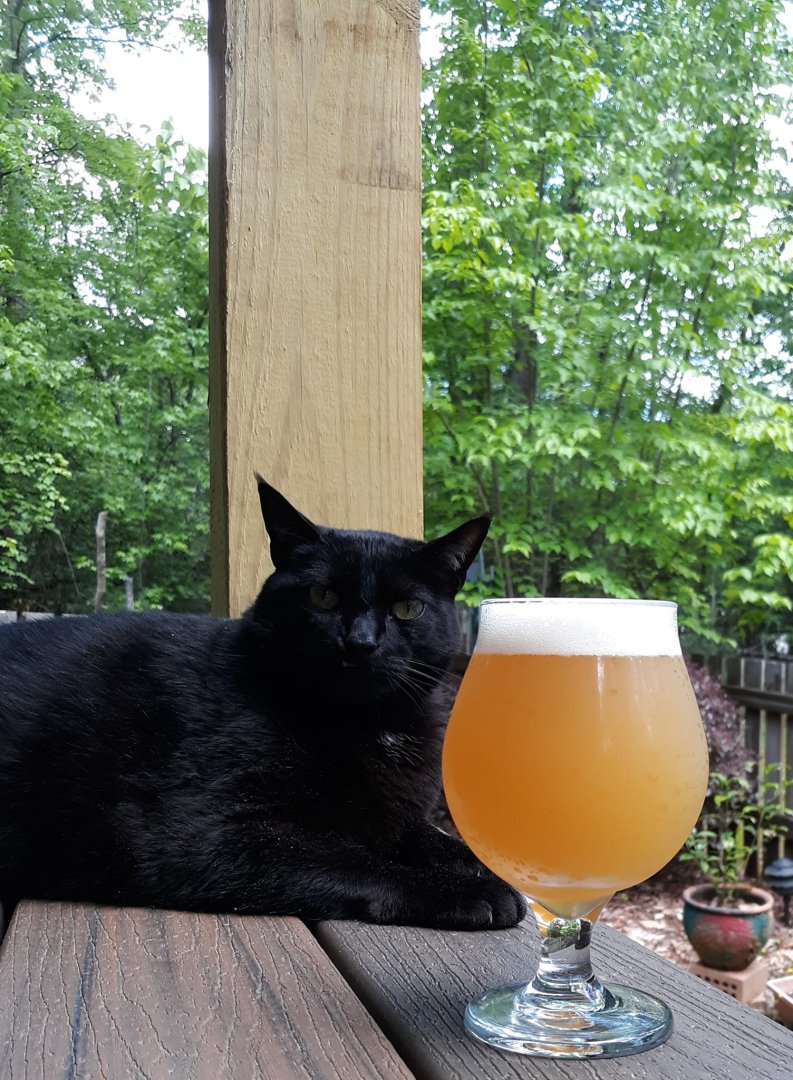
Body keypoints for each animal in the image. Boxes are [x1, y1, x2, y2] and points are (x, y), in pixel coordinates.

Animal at [0, 479, 526, 930]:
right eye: (322, 596)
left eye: (407, 609)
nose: (360, 643)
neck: (364, 724)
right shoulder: (201, 833)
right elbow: (356, 859)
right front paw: (470, 891)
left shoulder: (393, 818)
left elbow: (424, 836)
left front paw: (485, 866)